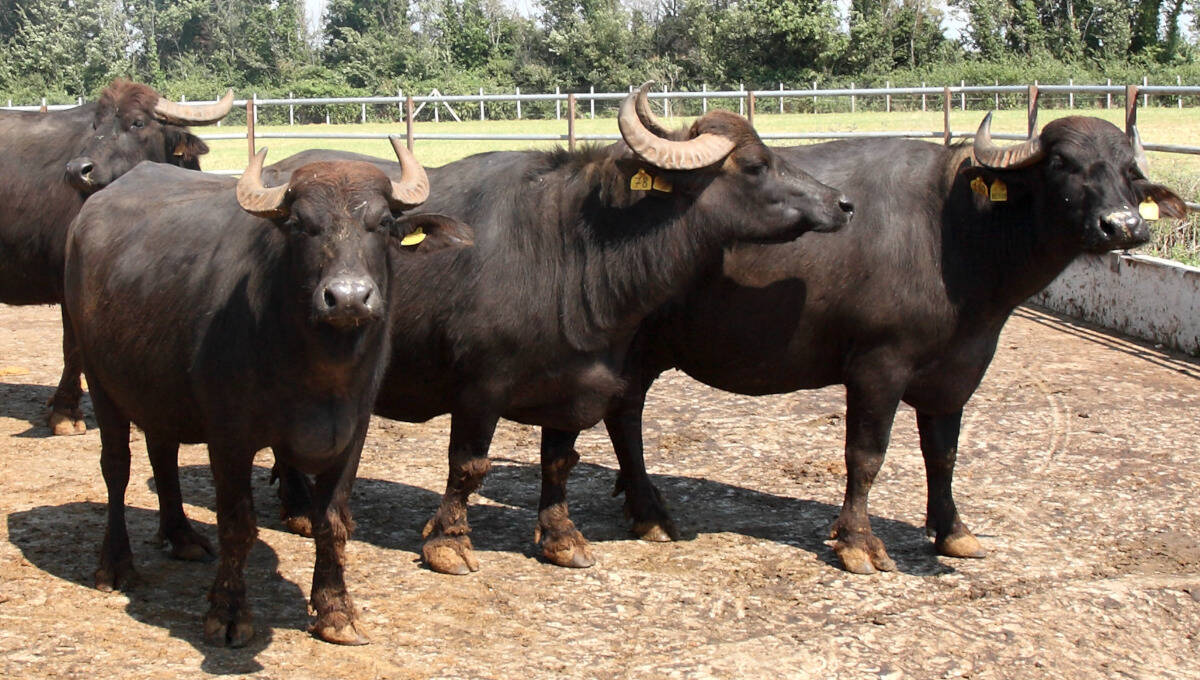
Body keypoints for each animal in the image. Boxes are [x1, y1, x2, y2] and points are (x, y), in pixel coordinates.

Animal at [63, 139, 470, 647]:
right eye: (300, 224)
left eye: (382, 223)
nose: (348, 298)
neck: (318, 371)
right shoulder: (229, 437)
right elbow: (238, 526)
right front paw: (228, 613)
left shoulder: (352, 434)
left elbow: (332, 522)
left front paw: (336, 611)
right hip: (99, 379)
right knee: (116, 469)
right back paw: (115, 565)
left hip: (159, 391)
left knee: (163, 454)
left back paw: (182, 536)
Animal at [267, 83, 859, 575]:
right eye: (756, 166)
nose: (843, 203)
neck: (566, 251)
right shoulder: (480, 386)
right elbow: (469, 466)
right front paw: (449, 543)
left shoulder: (573, 384)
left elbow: (558, 463)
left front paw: (560, 537)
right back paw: (300, 509)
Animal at [537, 111, 1190, 575]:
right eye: (1062, 164)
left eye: (1128, 171)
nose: (1124, 226)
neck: (953, 234)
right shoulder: (879, 365)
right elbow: (866, 456)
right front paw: (857, 543)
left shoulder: (955, 372)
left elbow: (943, 455)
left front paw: (953, 530)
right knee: (615, 418)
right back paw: (639, 513)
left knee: (624, 415)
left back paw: (643, 507)